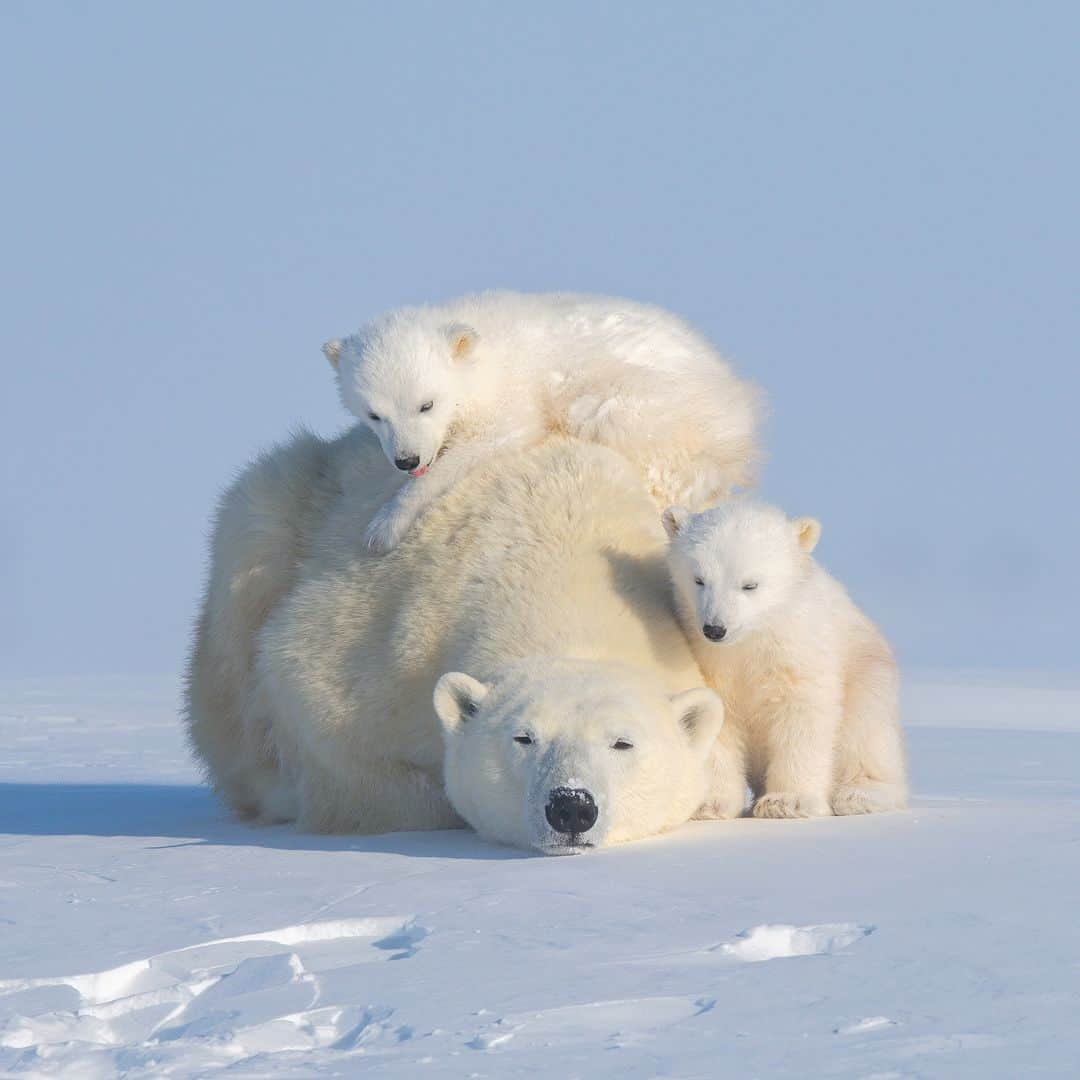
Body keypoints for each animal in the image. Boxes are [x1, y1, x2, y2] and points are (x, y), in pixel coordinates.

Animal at [319, 291, 760, 552]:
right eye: (375, 414)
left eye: (426, 404)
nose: (406, 460)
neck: (483, 354)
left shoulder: (512, 396)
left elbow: (491, 441)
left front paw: (384, 527)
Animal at [660, 498, 907, 816]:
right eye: (699, 579)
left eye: (750, 584)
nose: (715, 629)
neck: (751, 640)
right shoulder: (706, 660)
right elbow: (716, 723)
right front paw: (710, 804)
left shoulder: (798, 648)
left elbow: (801, 713)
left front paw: (787, 801)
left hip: (868, 676)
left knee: (864, 736)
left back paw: (858, 794)